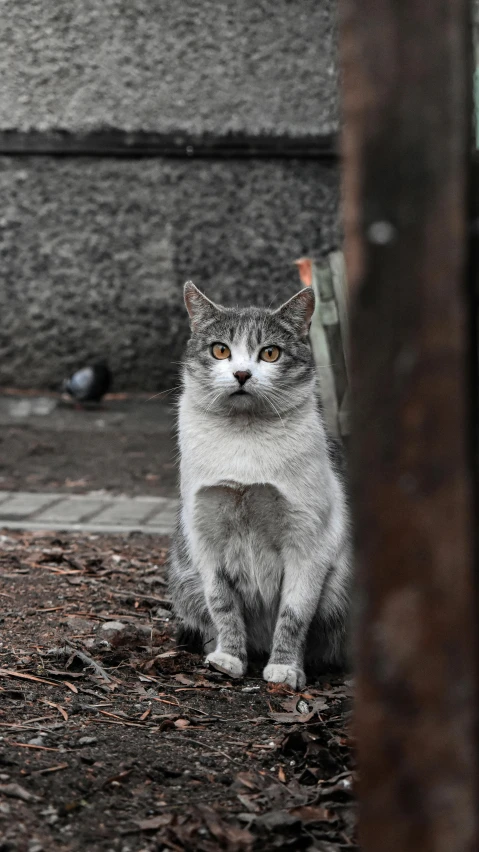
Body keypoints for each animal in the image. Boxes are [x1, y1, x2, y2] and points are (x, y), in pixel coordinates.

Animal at [169, 282, 352, 688]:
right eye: (220, 350)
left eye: (270, 353)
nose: (241, 373)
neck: (244, 435)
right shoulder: (205, 538)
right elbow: (222, 605)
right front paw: (228, 657)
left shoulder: (309, 540)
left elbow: (294, 613)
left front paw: (284, 669)